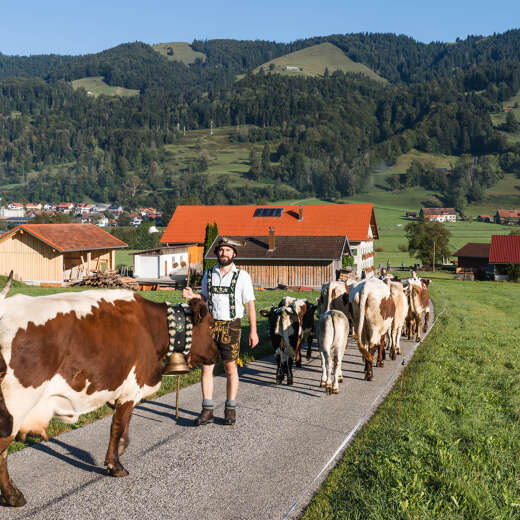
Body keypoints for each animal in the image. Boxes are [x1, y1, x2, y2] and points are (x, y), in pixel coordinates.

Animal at [0, 276, 217, 508]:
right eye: (210, 327)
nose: (217, 354)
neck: (150, 327)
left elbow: (124, 426)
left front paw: (122, 448)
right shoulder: (131, 388)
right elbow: (118, 426)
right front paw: (115, 465)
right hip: (16, 407)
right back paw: (13, 495)